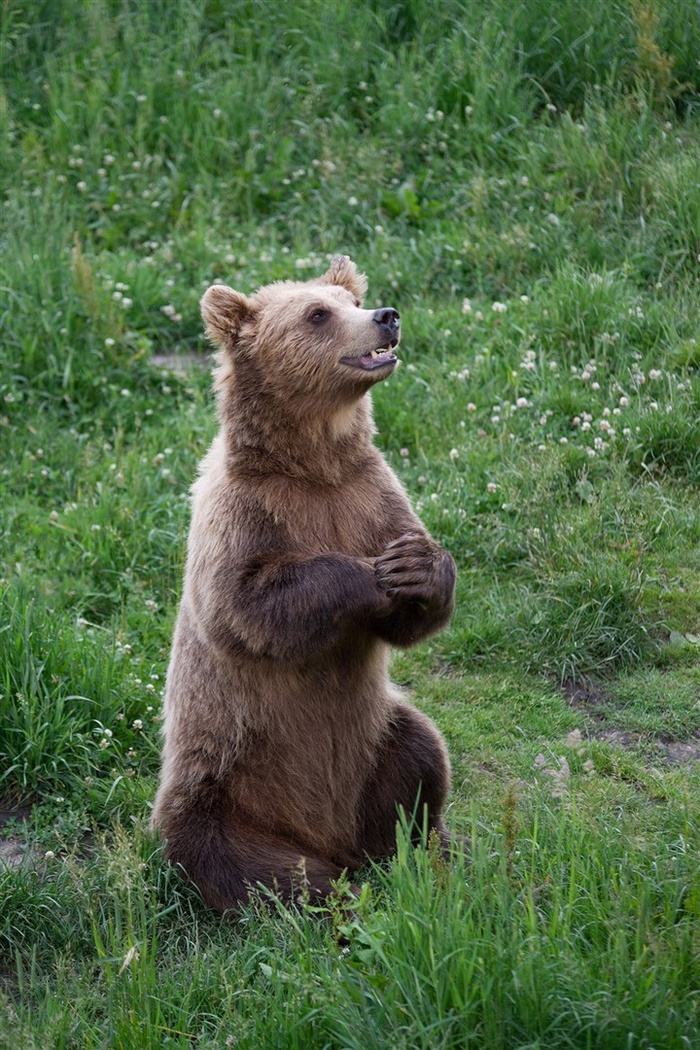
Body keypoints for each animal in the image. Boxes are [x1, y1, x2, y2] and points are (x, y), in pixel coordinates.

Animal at [152, 256, 459, 911]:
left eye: (350, 301)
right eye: (317, 314)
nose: (386, 316)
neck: (315, 464)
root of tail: (326, 835)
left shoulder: (371, 494)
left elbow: (414, 608)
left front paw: (415, 565)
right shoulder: (242, 515)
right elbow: (247, 605)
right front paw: (370, 575)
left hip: (375, 741)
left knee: (419, 756)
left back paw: (422, 852)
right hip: (223, 785)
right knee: (236, 861)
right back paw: (329, 895)